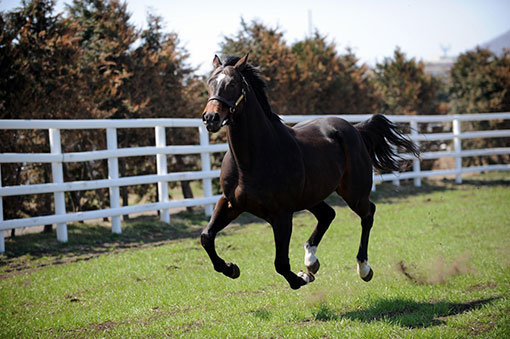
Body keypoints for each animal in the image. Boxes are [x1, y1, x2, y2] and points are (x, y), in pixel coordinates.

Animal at [199, 53, 418, 290]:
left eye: (232, 84)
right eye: (210, 82)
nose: (210, 118)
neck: (251, 160)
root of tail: (355, 129)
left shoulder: (282, 215)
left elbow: (281, 263)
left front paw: (302, 278)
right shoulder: (231, 203)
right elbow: (206, 236)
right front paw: (231, 269)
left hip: (354, 193)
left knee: (368, 214)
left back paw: (363, 268)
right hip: (311, 196)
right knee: (328, 214)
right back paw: (311, 260)